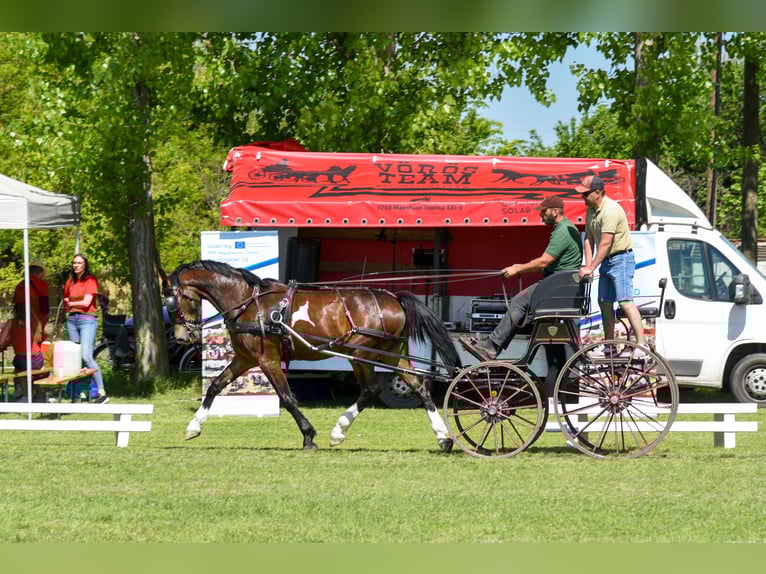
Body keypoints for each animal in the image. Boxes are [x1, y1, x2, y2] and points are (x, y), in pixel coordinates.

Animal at [161, 260, 462, 452]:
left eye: (174, 301)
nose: (182, 337)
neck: (248, 303)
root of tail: (394, 298)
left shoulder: (267, 360)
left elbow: (287, 397)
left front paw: (308, 436)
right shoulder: (246, 358)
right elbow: (214, 386)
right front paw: (193, 427)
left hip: (360, 353)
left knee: (371, 389)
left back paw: (338, 431)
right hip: (389, 354)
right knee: (418, 386)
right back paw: (443, 438)